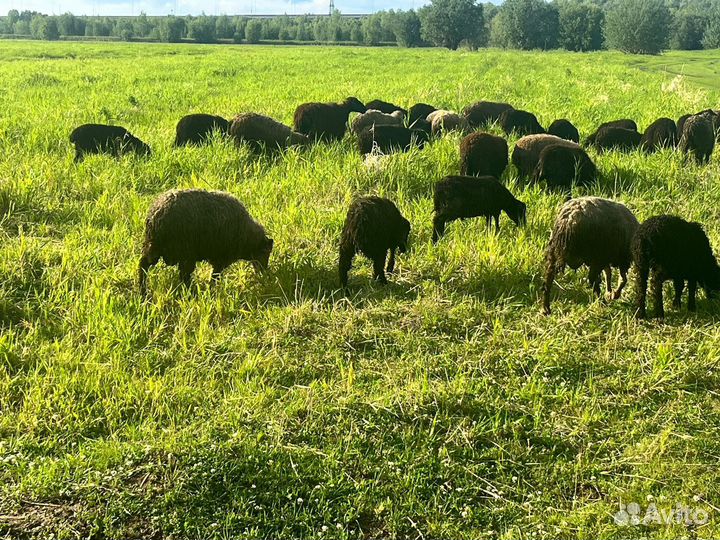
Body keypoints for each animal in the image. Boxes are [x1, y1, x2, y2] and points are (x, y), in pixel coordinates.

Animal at [138, 189, 273, 295]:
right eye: (265, 253)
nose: (263, 273)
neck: (248, 237)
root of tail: (157, 215)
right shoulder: (221, 259)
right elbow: (215, 277)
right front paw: (211, 291)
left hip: (153, 247)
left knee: (143, 265)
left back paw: (143, 292)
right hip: (184, 253)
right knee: (183, 276)